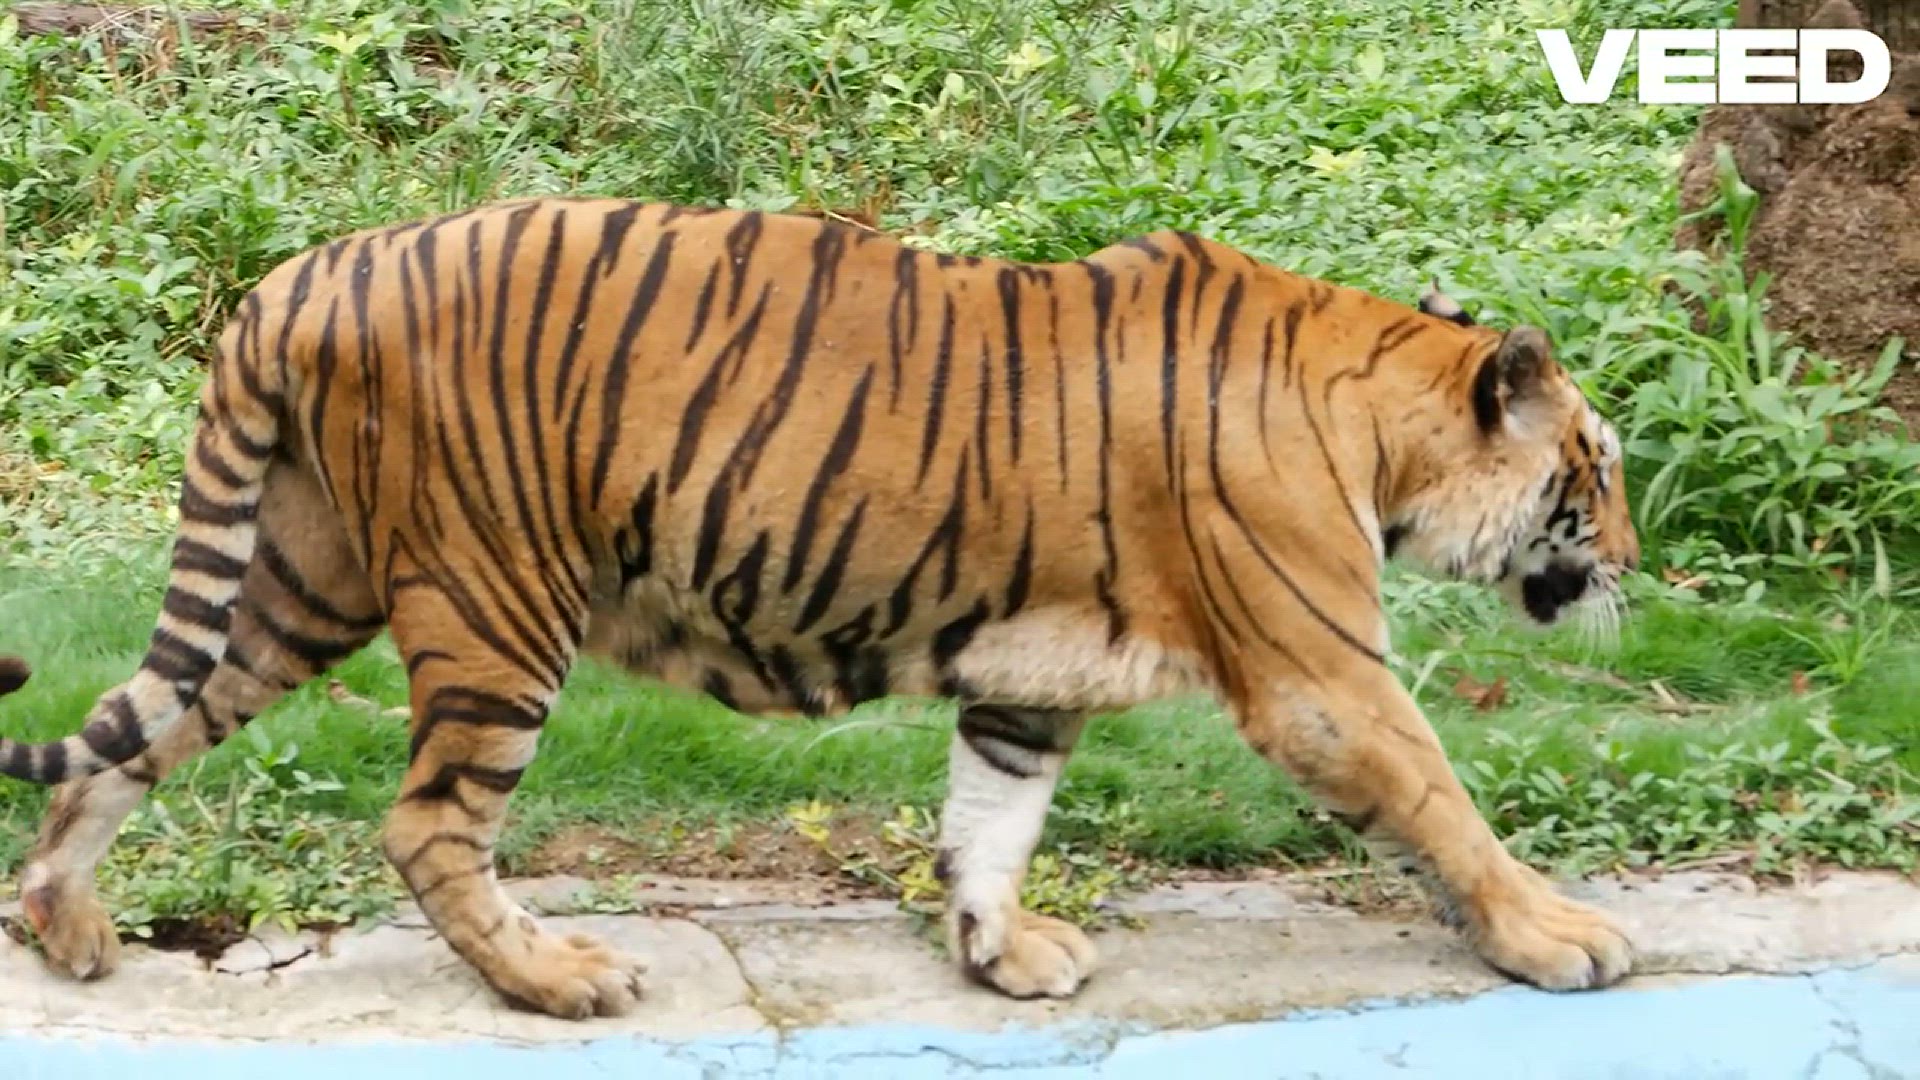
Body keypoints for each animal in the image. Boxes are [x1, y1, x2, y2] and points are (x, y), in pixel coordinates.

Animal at [0, 199, 1639, 1019]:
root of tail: (301, 276)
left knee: (129, 734)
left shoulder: (1032, 672)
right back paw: (558, 979)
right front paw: (1561, 937)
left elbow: (993, 816)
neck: (1381, 420)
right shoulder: (1322, 671)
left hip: (296, 581)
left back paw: (64, 923)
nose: (1636, 560)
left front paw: (994, 954)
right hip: (495, 596)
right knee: (424, 826)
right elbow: (1442, 800)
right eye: (1600, 465)